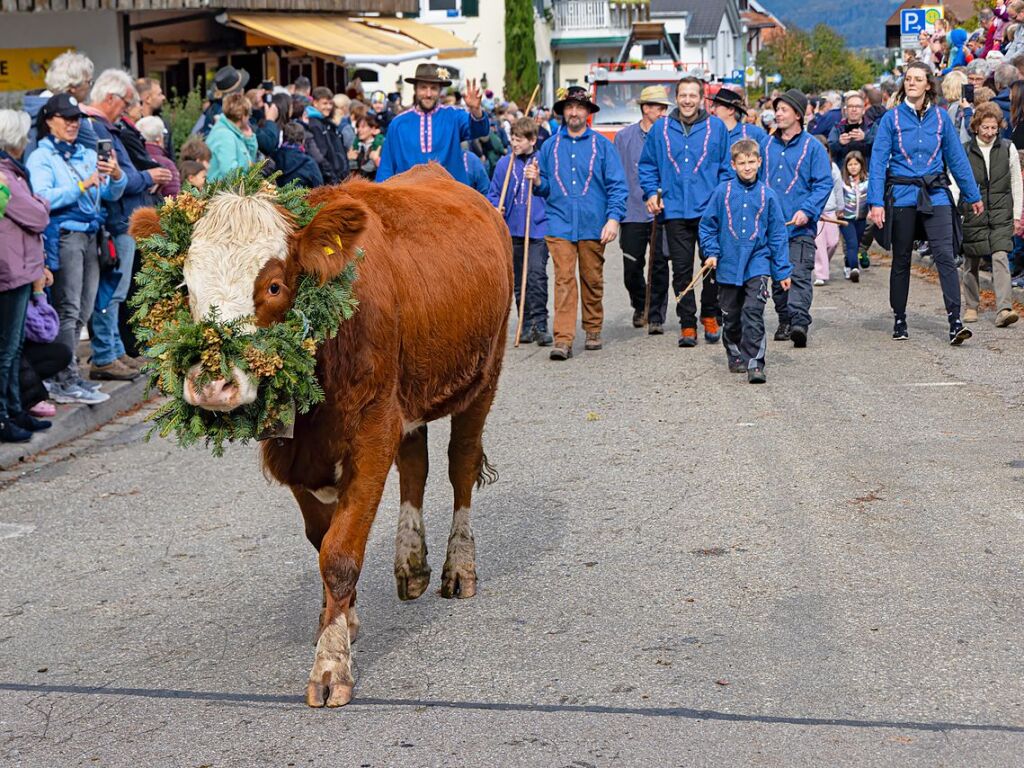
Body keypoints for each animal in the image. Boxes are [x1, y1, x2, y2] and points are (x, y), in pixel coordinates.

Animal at [130, 163, 512, 708]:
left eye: (272, 286)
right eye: (185, 288)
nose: (212, 384)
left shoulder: (373, 430)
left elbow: (340, 554)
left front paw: (331, 665)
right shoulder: (293, 450)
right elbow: (320, 538)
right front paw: (343, 619)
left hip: (485, 373)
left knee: (460, 463)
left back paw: (458, 568)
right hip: (411, 392)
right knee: (416, 465)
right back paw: (411, 562)